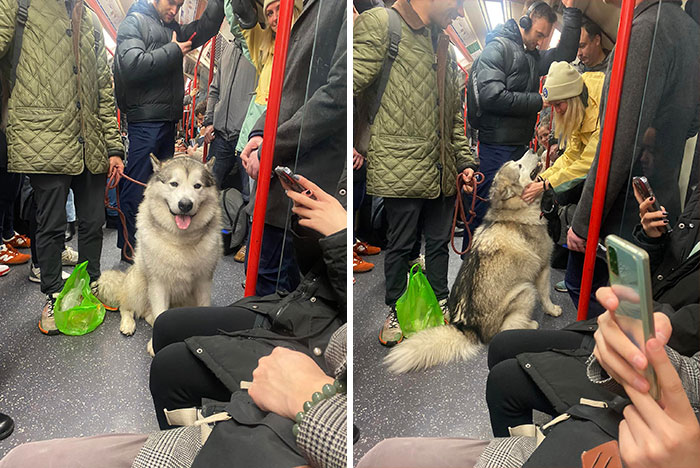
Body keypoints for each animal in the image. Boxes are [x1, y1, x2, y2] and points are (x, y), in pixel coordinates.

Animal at [98, 154, 221, 352]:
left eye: (197, 186)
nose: (185, 204)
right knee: (128, 307)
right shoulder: (158, 284)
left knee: (149, 314)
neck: (180, 240)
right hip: (138, 283)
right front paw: (154, 346)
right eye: (174, 184)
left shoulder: (203, 282)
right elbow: (159, 313)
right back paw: (127, 324)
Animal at [386, 152, 560, 374]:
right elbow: (546, 294)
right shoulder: (543, 269)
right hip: (525, 290)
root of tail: (469, 329)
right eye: (519, 165)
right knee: (505, 330)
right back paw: (530, 326)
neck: (513, 211)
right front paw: (552, 310)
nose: (534, 150)